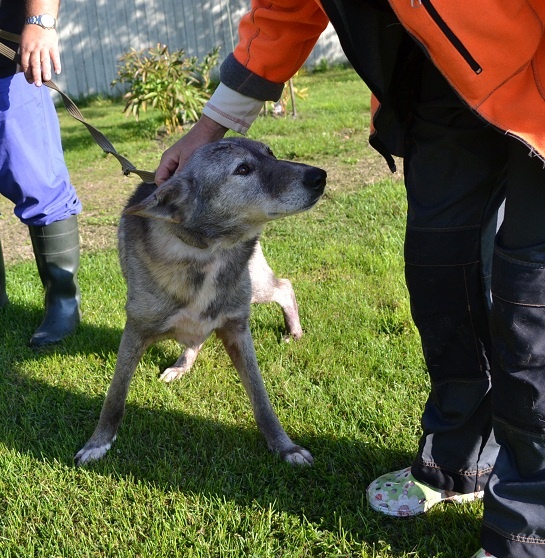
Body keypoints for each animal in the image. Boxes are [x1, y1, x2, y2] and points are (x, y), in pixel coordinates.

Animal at [74, 137, 326, 467]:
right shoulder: (135, 331)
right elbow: (114, 396)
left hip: (255, 288)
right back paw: (182, 365)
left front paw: (285, 446)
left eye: (270, 153)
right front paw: (98, 442)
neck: (210, 251)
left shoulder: (237, 328)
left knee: (284, 286)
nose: (320, 176)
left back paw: (293, 330)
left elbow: (261, 399)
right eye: (242, 169)